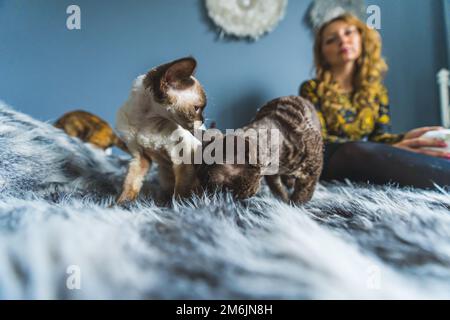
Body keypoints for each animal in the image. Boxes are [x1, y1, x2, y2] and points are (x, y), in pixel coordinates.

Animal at [116, 56, 207, 204]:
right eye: (197, 108)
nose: (203, 120)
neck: (150, 123)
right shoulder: (140, 157)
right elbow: (131, 184)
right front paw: (120, 204)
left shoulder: (182, 158)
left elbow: (181, 190)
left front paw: (180, 207)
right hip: (164, 175)